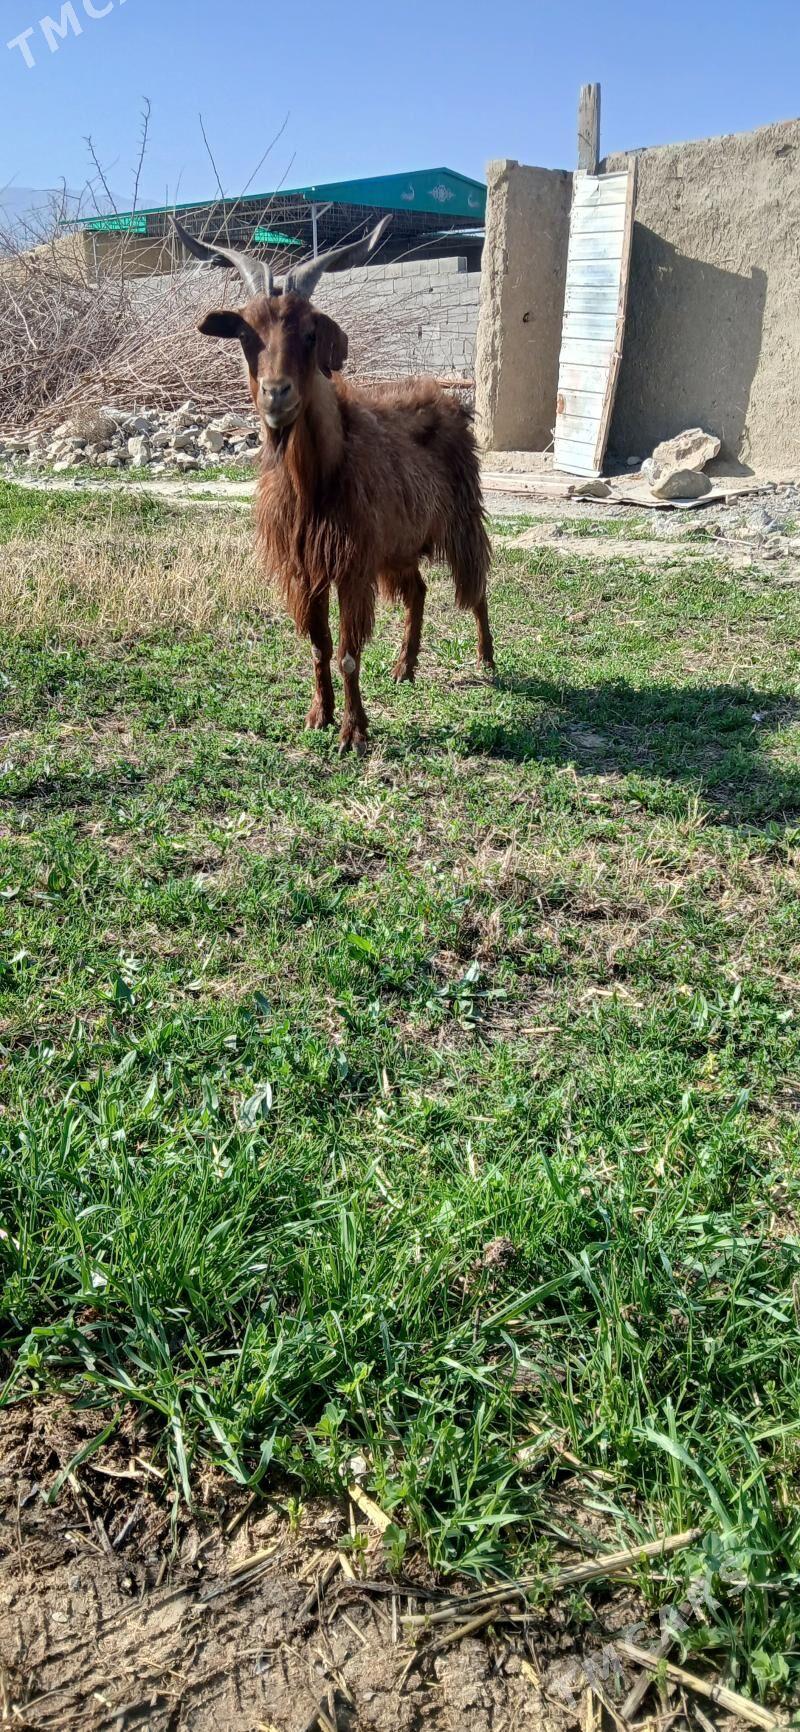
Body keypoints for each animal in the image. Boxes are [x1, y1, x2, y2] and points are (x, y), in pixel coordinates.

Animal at [174, 216, 494, 751]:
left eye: (309, 333)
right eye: (245, 334)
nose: (276, 394)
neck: (316, 480)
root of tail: (447, 397)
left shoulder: (352, 565)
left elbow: (346, 653)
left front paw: (353, 732)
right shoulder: (307, 568)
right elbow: (319, 647)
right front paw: (318, 715)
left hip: (462, 519)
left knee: (477, 587)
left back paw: (488, 659)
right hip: (399, 545)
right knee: (420, 590)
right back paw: (405, 666)